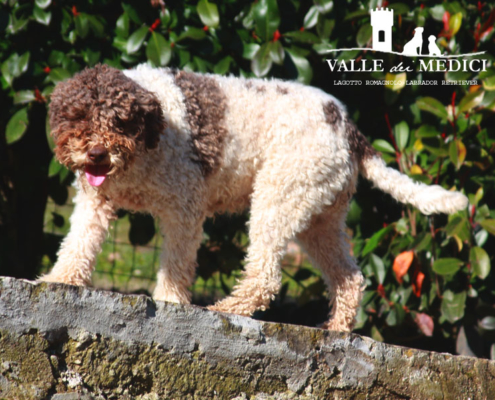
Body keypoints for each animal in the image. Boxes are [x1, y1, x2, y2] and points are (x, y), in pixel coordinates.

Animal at [39, 63, 468, 332]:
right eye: (77, 117)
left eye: (120, 121)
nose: (96, 155)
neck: (146, 142)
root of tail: (346, 124)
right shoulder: (94, 203)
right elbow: (77, 244)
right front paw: (59, 281)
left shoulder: (184, 206)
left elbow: (176, 265)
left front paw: (172, 303)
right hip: (319, 215)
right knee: (350, 277)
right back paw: (338, 328)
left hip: (278, 195)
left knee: (265, 276)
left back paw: (227, 309)